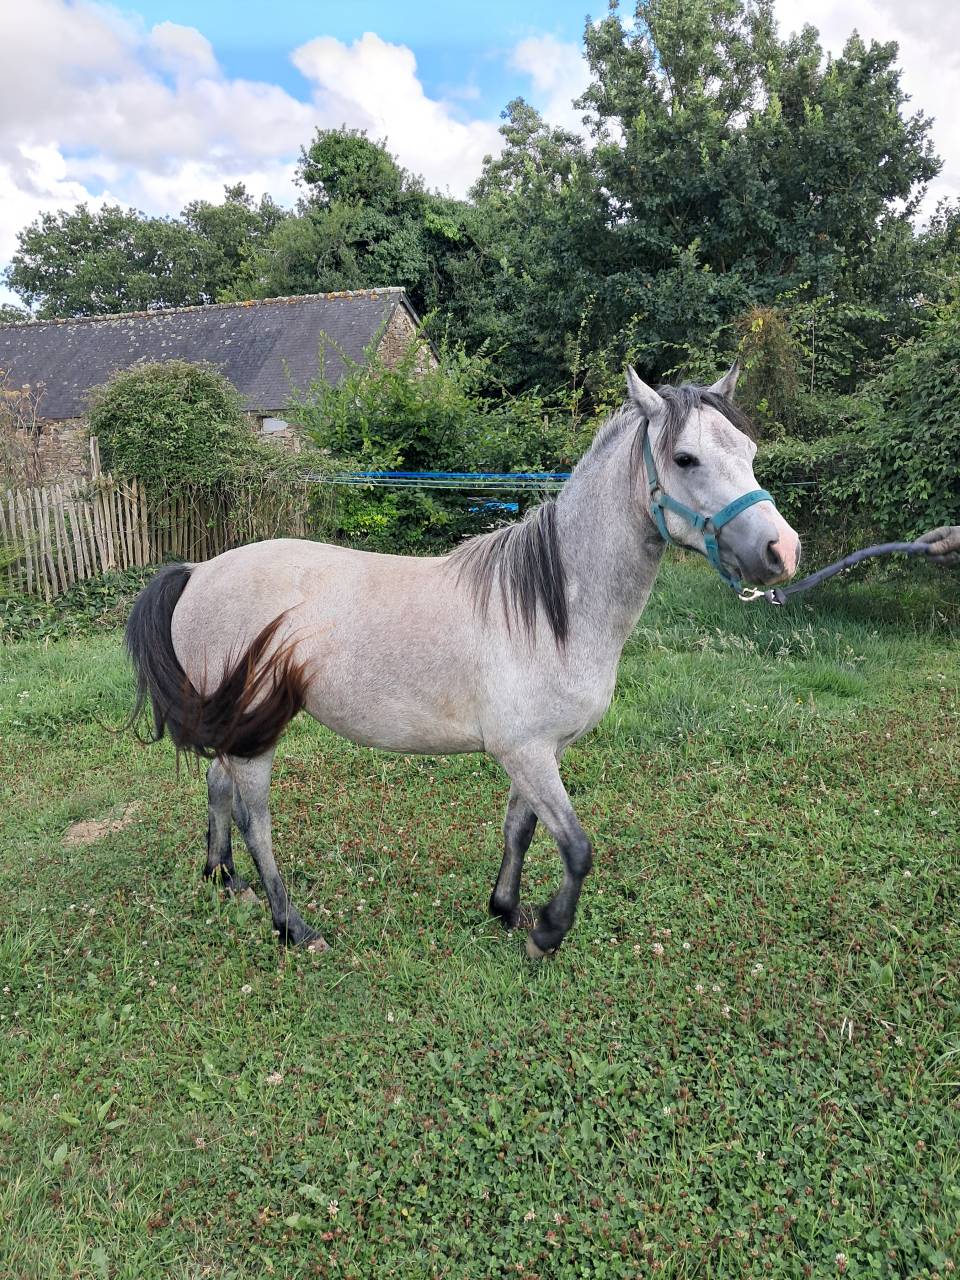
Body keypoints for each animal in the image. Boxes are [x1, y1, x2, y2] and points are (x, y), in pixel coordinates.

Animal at [125, 365, 800, 958]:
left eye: (749, 449)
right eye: (685, 459)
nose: (782, 550)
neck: (549, 606)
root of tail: (199, 571)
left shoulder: (537, 751)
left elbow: (520, 829)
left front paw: (506, 910)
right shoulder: (525, 751)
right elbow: (577, 846)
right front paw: (547, 933)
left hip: (236, 723)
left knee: (217, 789)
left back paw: (223, 879)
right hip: (255, 732)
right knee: (254, 820)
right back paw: (292, 925)